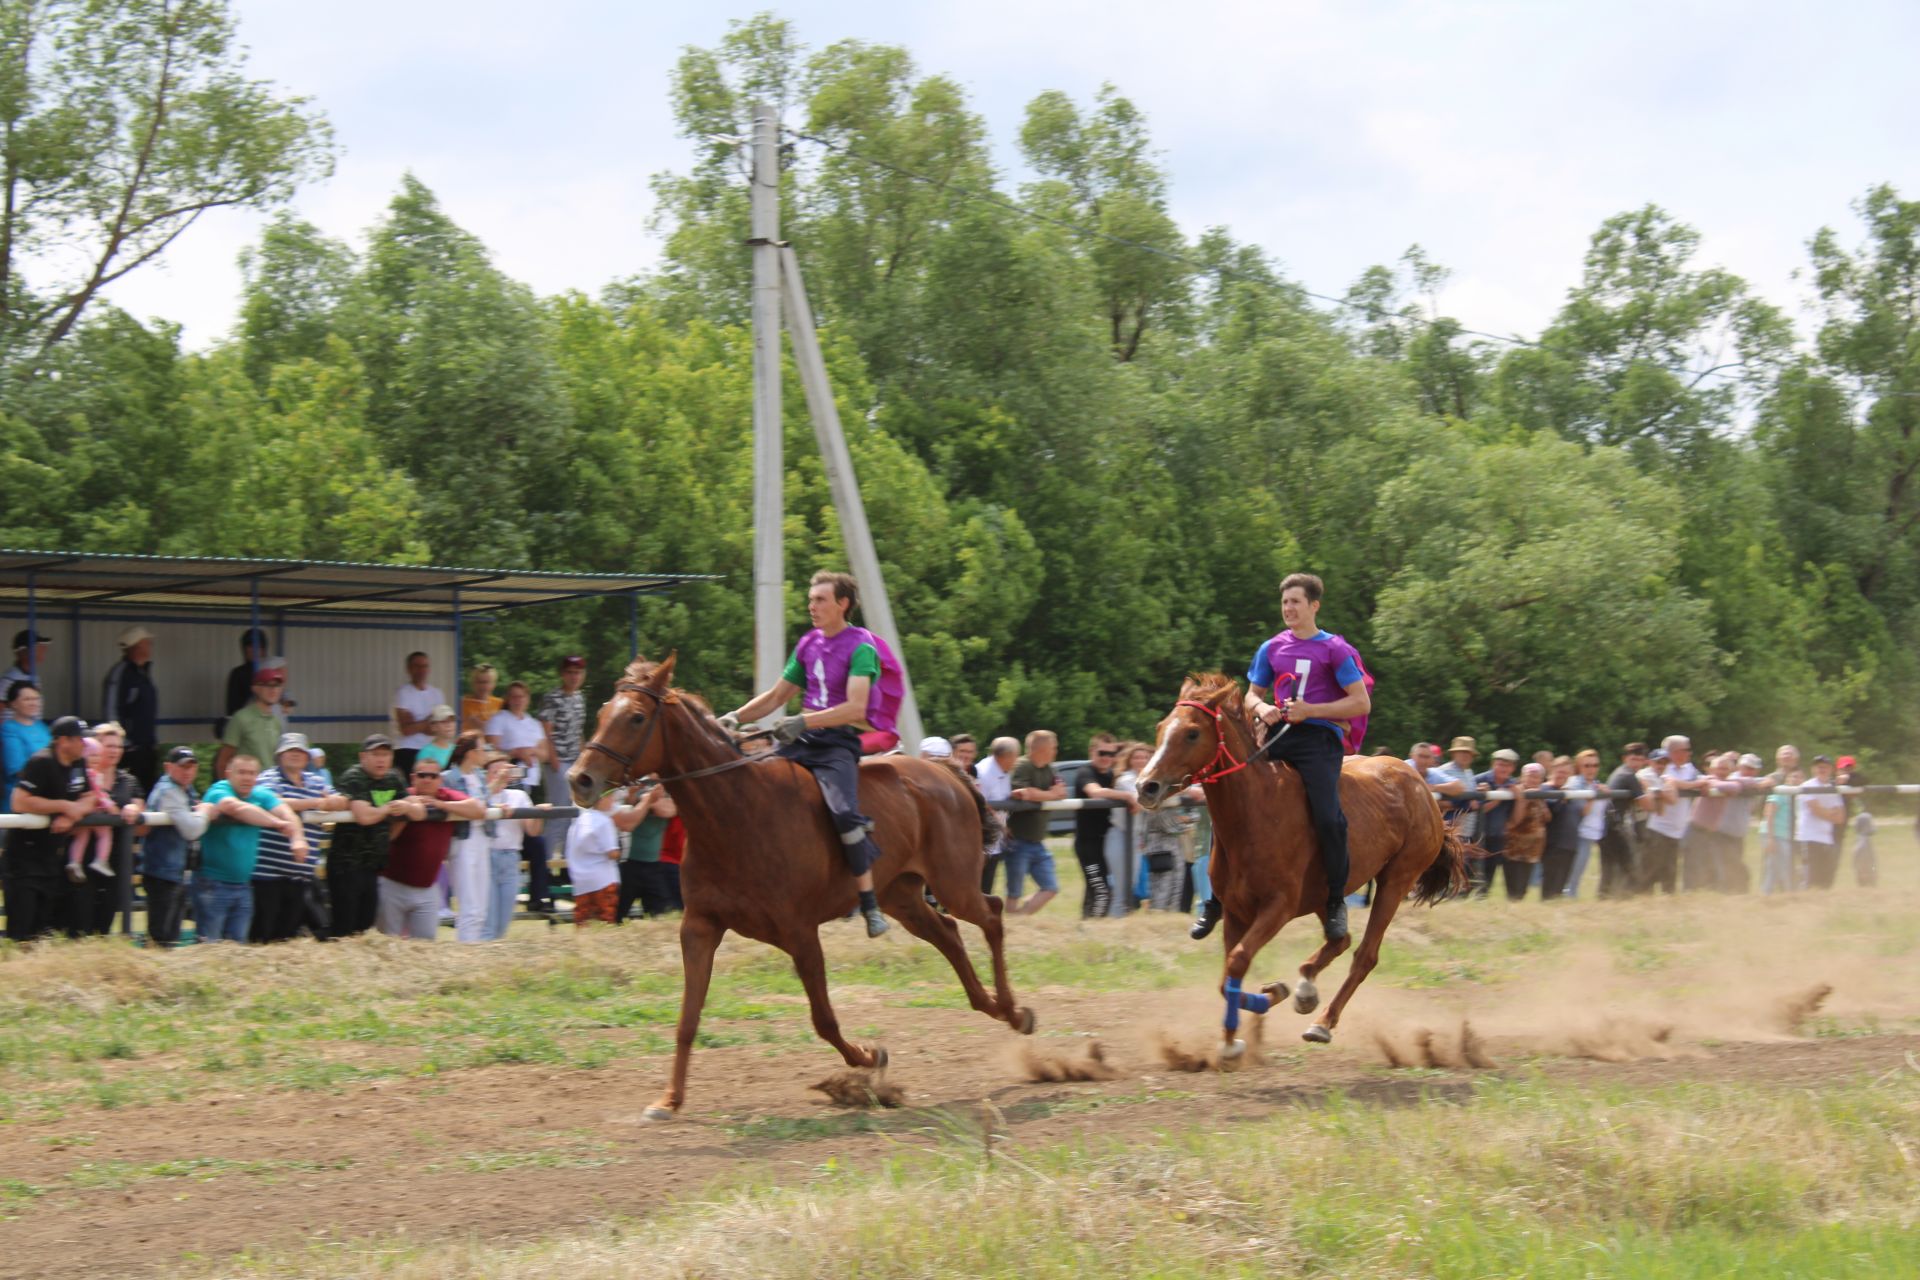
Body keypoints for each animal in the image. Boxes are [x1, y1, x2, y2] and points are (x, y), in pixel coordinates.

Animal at [564, 656, 1036, 1113]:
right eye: (603, 712)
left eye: (637, 717)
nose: (580, 779)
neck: (736, 812)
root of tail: (945, 772)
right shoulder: (699, 927)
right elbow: (688, 1017)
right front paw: (669, 1099)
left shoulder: (800, 933)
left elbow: (823, 1019)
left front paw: (868, 1059)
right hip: (900, 895)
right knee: (949, 934)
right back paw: (993, 1006)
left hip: (953, 883)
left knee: (991, 915)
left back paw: (1013, 1011)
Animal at [1128, 675, 1459, 1059]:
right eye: (1161, 727)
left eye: (1193, 733)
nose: (1146, 786)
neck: (1255, 813)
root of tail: (1421, 785)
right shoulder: (1236, 911)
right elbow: (1228, 976)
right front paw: (1248, 1021)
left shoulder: (1278, 907)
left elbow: (1237, 962)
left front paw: (1252, 1017)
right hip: (1324, 897)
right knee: (1340, 937)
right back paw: (1306, 989)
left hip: (1396, 879)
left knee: (1364, 954)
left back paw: (1322, 1022)